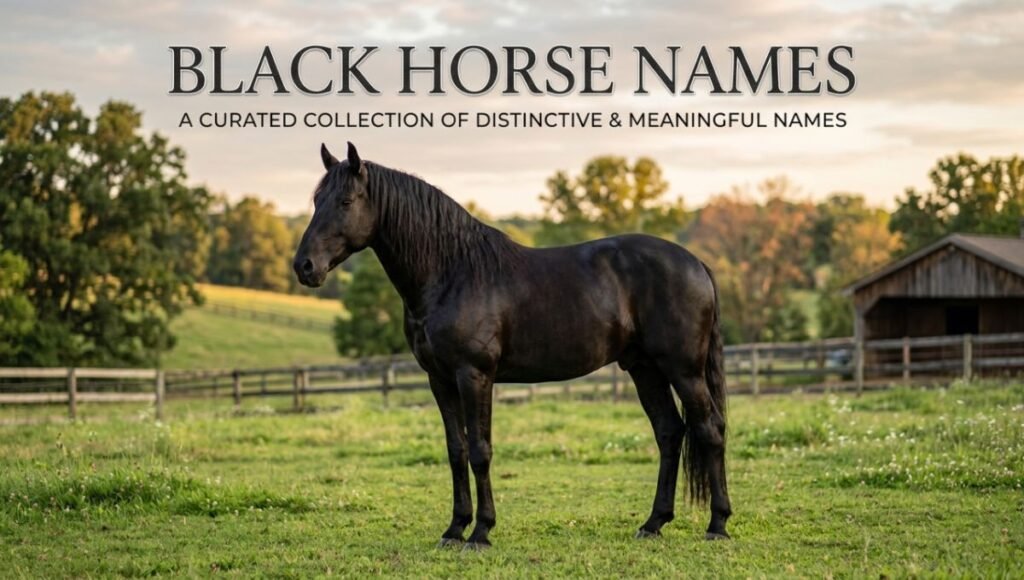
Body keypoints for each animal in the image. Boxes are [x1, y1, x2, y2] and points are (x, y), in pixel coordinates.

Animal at [293, 143, 731, 549]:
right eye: (316, 200)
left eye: (346, 201)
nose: (304, 266)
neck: (452, 271)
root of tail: (695, 263)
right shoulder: (439, 380)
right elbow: (456, 450)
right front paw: (454, 529)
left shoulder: (474, 375)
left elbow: (480, 450)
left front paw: (481, 532)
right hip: (644, 369)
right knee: (670, 432)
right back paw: (653, 523)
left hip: (683, 369)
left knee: (709, 429)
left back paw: (717, 524)